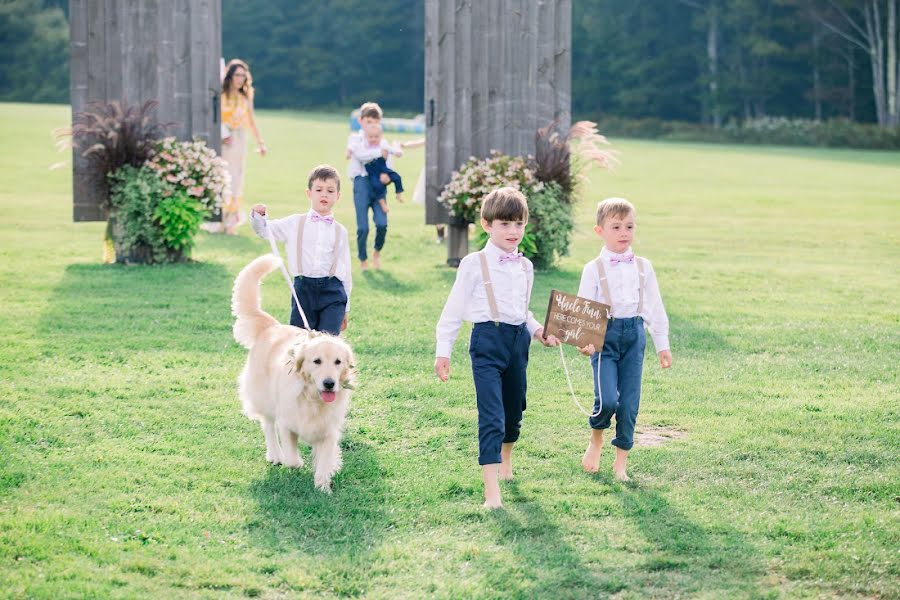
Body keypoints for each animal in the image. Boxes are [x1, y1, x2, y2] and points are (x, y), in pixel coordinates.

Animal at [232, 253, 356, 492]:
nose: (329, 383)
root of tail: (270, 326)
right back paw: (274, 454)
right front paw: (296, 463)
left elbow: (325, 461)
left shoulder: (328, 430)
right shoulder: (287, 422)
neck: (312, 399)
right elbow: (291, 457)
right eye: (316, 361)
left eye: (338, 362)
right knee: (268, 426)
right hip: (264, 399)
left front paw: (323, 487)